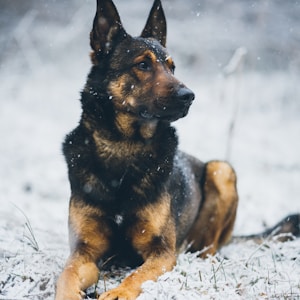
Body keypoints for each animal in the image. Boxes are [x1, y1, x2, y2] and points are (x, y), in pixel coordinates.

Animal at [55, 0, 298, 300]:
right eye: (143, 64)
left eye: (172, 67)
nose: (189, 96)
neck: (124, 147)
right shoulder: (84, 251)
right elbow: (65, 276)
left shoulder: (161, 252)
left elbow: (137, 276)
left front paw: (118, 293)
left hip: (221, 170)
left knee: (209, 249)